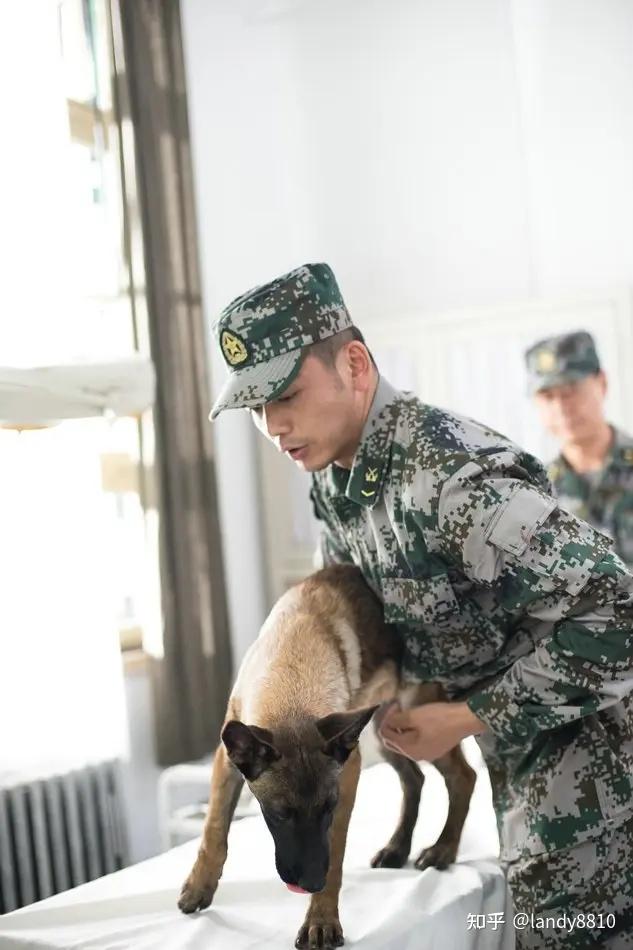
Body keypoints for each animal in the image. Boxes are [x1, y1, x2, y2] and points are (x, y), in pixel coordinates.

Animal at [178, 568, 474, 948]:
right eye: (279, 814)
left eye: (328, 808)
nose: (310, 884)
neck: (291, 678)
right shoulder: (227, 761)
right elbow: (214, 829)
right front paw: (199, 886)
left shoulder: (347, 779)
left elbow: (335, 854)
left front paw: (321, 919)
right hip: (382, 733)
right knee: (415, 778)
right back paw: (397, 847)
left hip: (416, 727)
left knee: (462, 776)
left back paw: (443, 848)